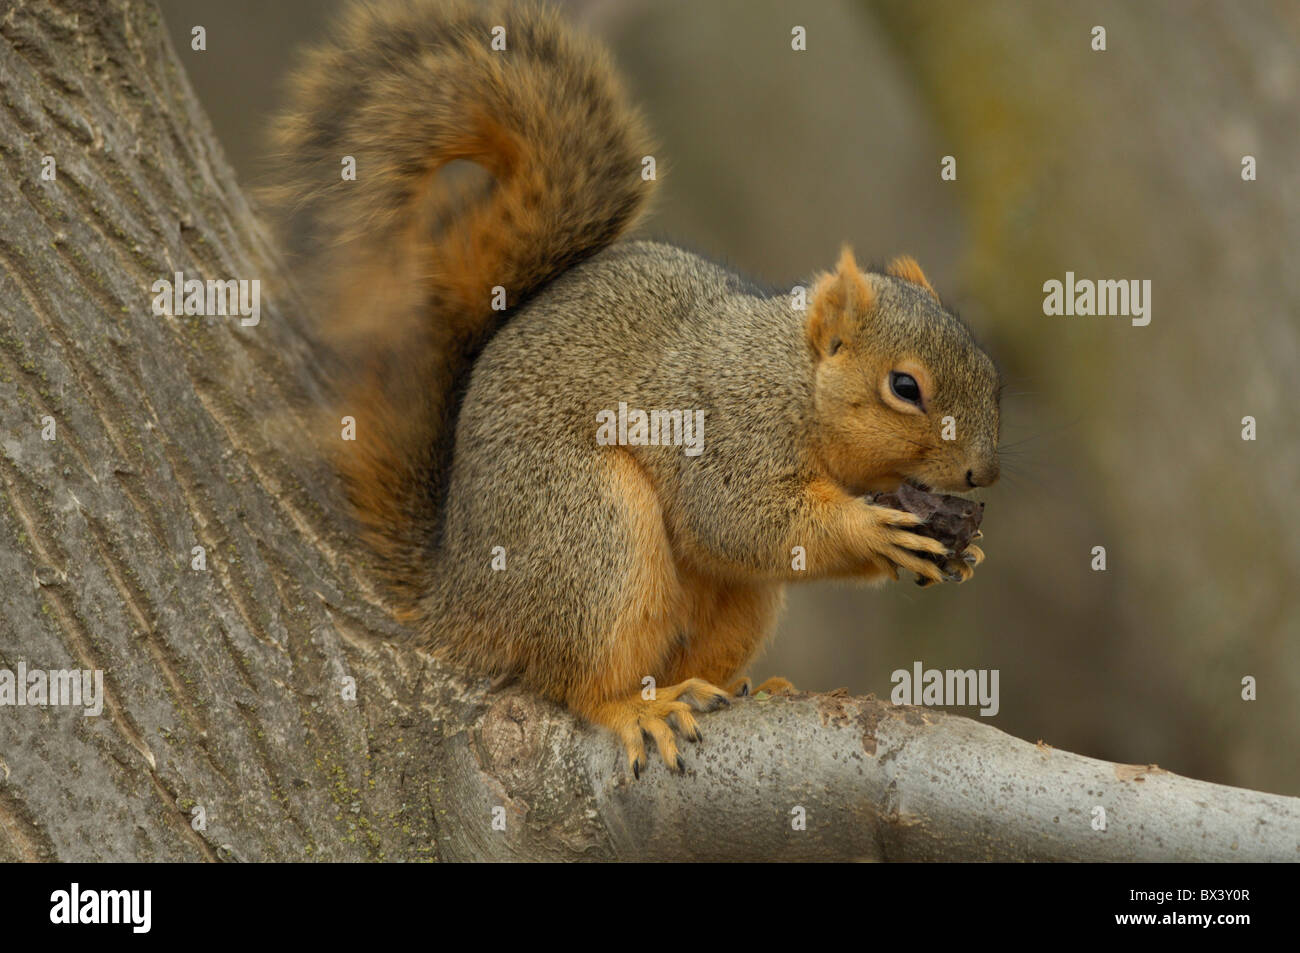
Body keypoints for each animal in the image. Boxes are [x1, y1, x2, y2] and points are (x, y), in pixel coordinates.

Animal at [268, 0, 1002, 778]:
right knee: (578, 680)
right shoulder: (726, 427)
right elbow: (741, 518)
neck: (795, 384)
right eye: (905, 386)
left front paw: (965, 550)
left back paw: (738, 685)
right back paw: (634, 707)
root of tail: (462, 599)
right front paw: (876, 528)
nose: (982, 473)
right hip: (590, 529)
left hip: (732, 600)